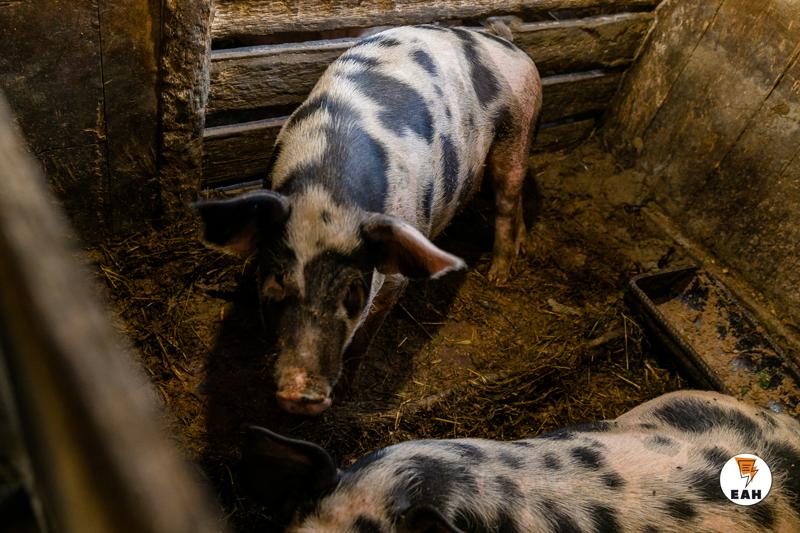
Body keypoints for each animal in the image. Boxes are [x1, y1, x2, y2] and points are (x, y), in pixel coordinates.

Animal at [195, 24, 542, 415]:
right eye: (276, 281)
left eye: (352, 291)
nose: (300, 394)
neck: (327, 190)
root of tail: (506, 42)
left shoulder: (393, 277)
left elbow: (366, 334)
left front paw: (348, 391)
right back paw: (522, 248)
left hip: (518, 131)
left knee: (507, 199)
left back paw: (498, 275)